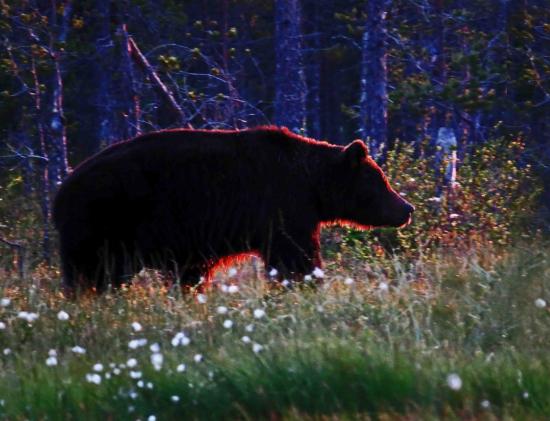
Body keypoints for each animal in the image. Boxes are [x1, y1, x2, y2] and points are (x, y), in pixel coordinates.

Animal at [54, 126, 414, 292]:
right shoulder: (282, 206)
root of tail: (61, 190)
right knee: (95, 272)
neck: (313, 184)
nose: (406, 208)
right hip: (104, 221)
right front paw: (305, 283)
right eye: (381, 181)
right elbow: (294, 256)